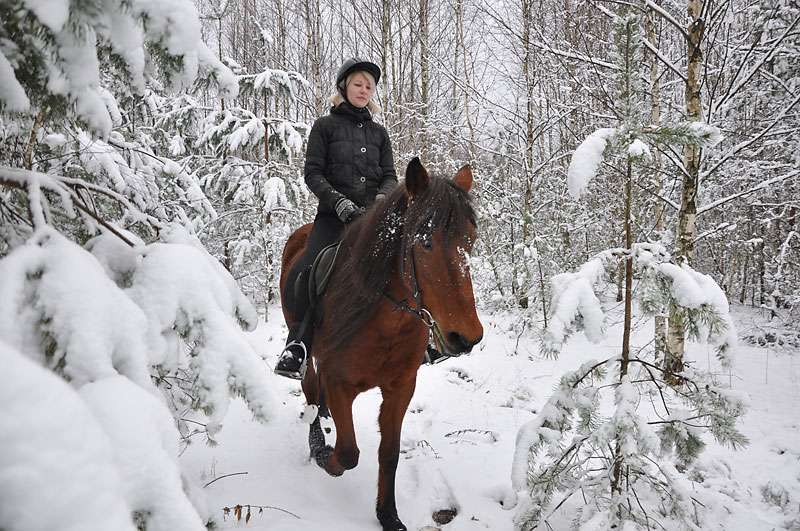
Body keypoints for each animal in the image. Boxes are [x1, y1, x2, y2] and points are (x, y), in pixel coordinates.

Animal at [278, 159, 484, 531]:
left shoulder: (401, 387)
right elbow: (348, 453)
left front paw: (388, 514)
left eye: (470, 240)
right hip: (304, 348)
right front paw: (325, 458)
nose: (466, 337)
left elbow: (388, 454)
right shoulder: (339, 381)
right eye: (425, 242)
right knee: (311, 388)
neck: (385, 323)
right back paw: (317, 441)